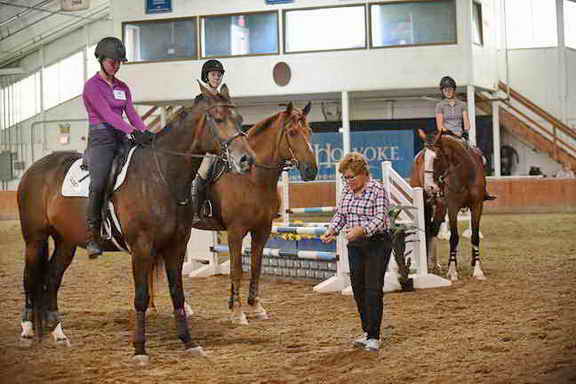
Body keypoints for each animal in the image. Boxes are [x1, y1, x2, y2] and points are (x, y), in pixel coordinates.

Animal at [17, 83, 254, 364]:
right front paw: (140, 349)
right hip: (35, 239)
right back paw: (27, 331)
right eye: (218, 119)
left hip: (66, 242)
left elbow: (177, 293)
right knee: (30, 278)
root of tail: (34, 169)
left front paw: (189, 342)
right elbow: (141, 297)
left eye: (239, 119)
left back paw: (59, 334)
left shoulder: (176, 246)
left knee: (52, 279)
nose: (246, 160)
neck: (161, 176)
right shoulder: (142, 248)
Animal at [191, 102, 318, 324]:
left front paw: (255, 306)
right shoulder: (235, 232)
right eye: (292, 132)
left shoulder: (262, 230)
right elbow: (236, 270)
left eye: (309, 131)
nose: (311, 170)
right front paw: (237, 312)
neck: (252, 179)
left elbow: (255, 267)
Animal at [410, 130, 486, 280]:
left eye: (438, 157)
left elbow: (474, 237)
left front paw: (477, 270)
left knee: (433, 229)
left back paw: (435, 264)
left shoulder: (477, 206)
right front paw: (452, 271)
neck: (466, 173)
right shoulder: (452, 208)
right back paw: (431, 265)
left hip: (440, 208)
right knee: (430, 230)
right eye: (423, 159)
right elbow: (454, 238)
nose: (429, 188)